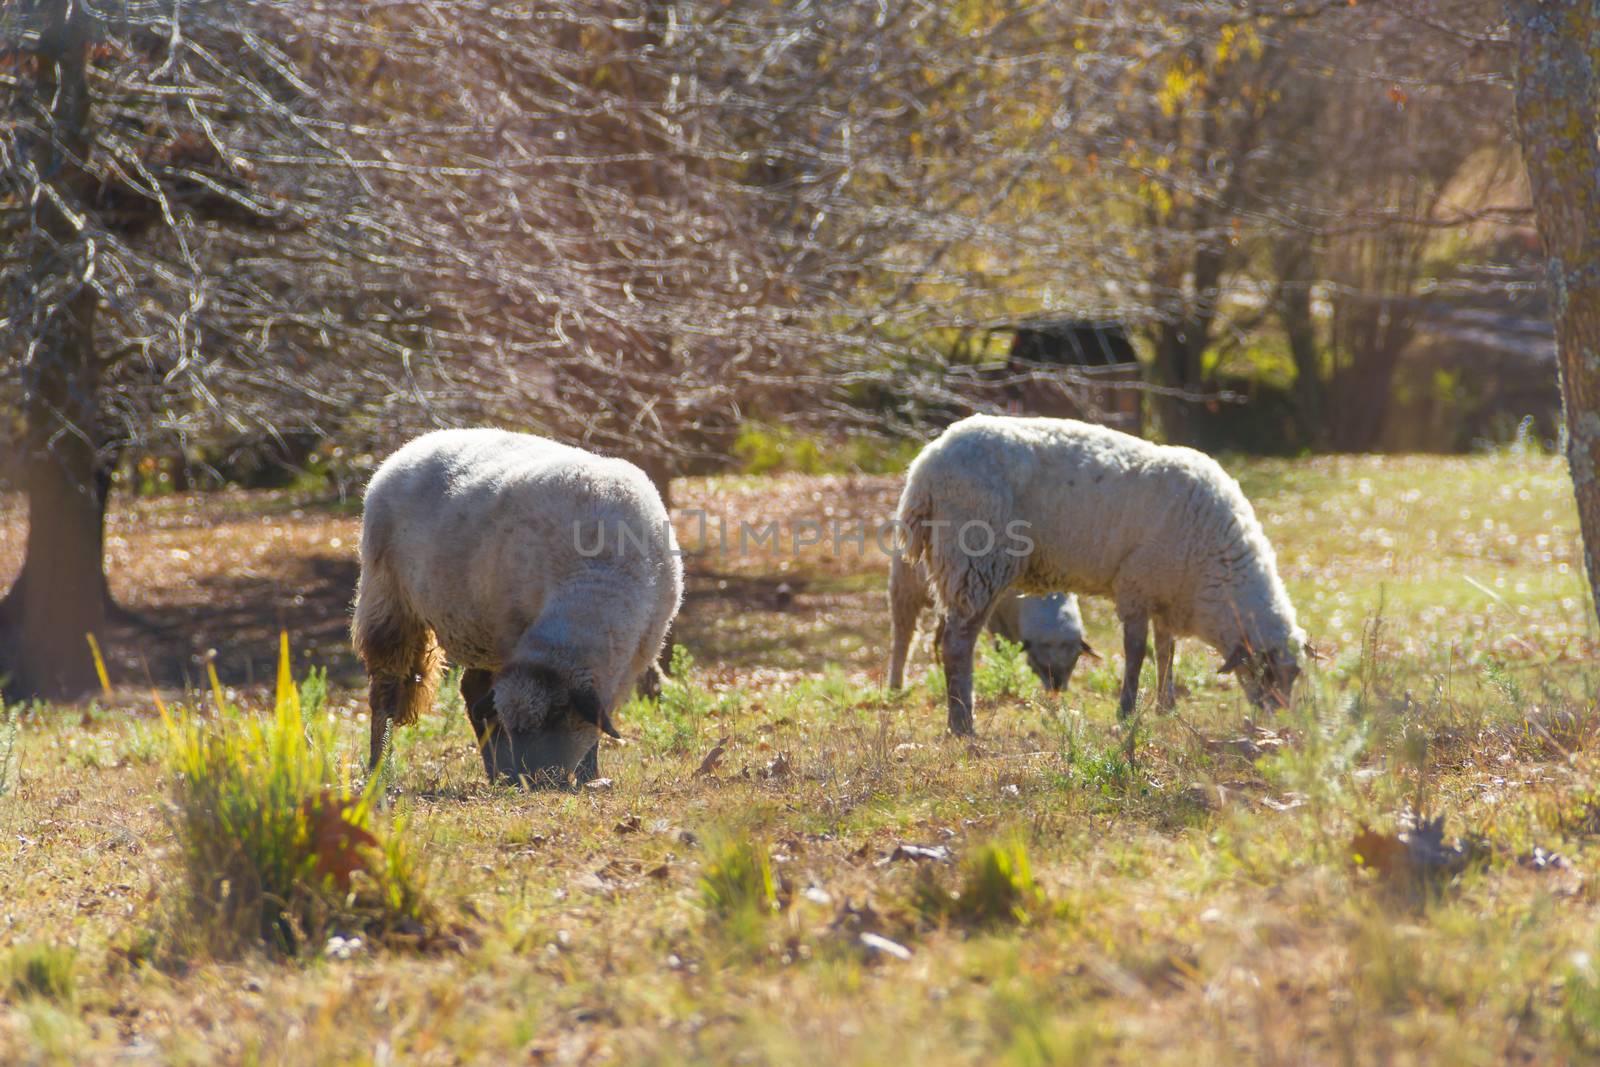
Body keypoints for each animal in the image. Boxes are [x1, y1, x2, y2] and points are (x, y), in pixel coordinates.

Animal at [350, 428, 681, 790]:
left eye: (557, 715)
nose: (535, 780)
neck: (594, 581)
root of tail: (414, 444)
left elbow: (592, 724)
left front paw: (588, 774)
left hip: (476, 628)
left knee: (472, 691)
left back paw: (497, 773)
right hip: (389, 601)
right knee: (386, 692)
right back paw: (382, 770)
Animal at [883, 550, 1094, 694]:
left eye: (1075, 660)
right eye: (1039, 662)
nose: (1057, 689)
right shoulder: (997, 616)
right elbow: (1002, 648)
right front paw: (1005, 675)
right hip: (905, 587)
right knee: (903, 637)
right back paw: (895, 685)